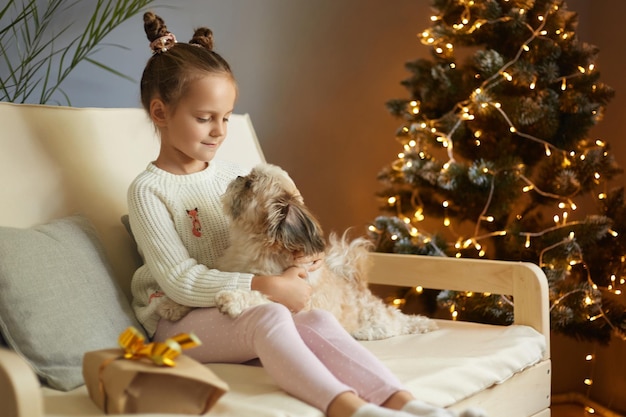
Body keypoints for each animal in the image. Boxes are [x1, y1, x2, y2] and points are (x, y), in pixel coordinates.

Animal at [158, 162, 436, 338]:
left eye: (250, 184)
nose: (238, 177)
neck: (252, 245)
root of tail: (357, 285)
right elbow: (198, 293)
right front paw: (172, 305)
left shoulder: (293, 299)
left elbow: (261, 295)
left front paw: (232, 299)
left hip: (381, 321)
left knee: (400, 320)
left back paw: (423, 323)